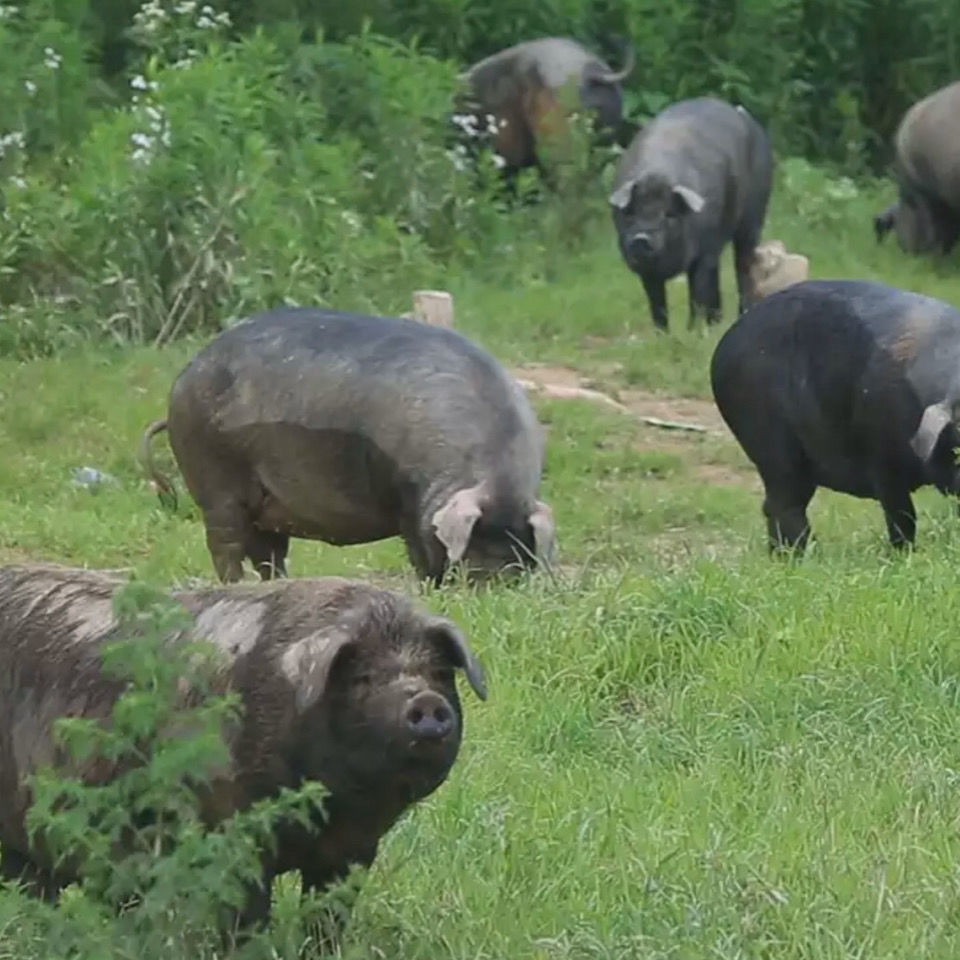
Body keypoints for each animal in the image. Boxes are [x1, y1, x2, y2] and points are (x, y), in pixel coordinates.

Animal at [0, 564, 488, 936]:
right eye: (362, 678)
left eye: (439, 673)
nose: (426, 702)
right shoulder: (232, 836)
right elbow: (245, 918)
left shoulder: (353, 851)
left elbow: (327, 919)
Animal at [612, 97, 776, 330]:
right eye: (631, 213)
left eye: (669, 214)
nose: (641, 238)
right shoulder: (646, 271)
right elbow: (657, 302)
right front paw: (663, 333)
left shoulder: (705, 249)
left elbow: (697, 293)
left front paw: (694, 331)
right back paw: (716, 322)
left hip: (754, 216)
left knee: (743, 264)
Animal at [712, 278, 960, 552]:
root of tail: (724, 344)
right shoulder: (881, 456)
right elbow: (902, 514)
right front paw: (904, 554)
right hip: (767, 440)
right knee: (784, 503)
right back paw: (801, 554)